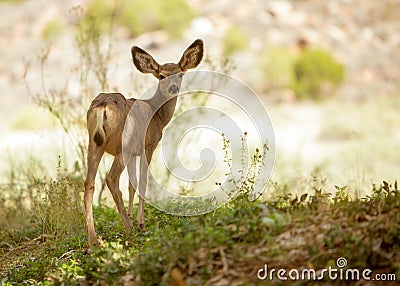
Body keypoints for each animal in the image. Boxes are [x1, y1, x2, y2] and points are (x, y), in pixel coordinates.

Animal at [83, 39, 203, 247]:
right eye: (161, 75)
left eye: (180, 74)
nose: (173, 88)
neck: (157, 116)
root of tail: (102, 107)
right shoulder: (148, 146)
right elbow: (143, 182)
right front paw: (140, 223)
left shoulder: (134, 153)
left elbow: (132, 184)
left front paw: (131, 215)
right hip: (123, 144)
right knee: (111, 179)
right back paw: (128, 229)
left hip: (94, 143)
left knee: (89, 183)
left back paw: (94, 239)